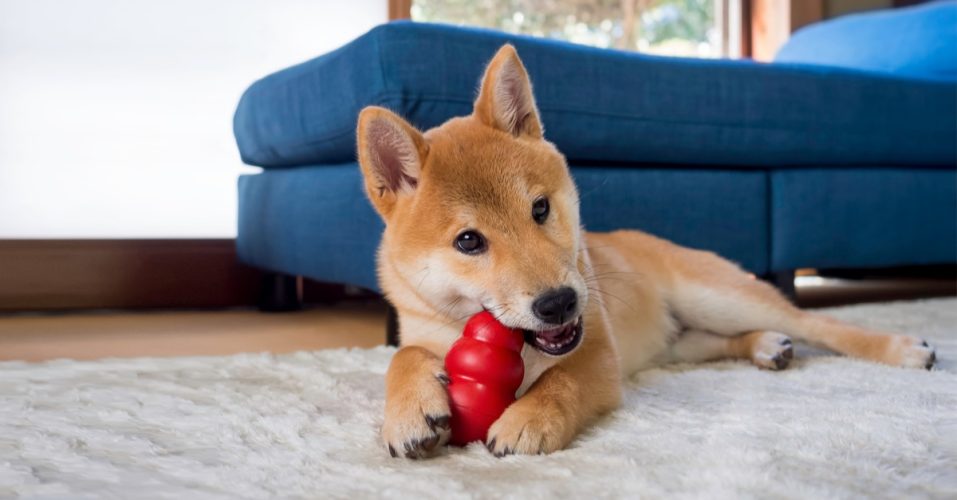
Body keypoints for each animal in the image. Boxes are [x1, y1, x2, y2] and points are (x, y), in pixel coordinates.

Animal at [354, 45, 936, 458]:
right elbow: (402, 356)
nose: (560, 304)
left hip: (717, 297)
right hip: (682, 340)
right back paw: (768, 346)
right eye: (468, 241)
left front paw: (528, 419)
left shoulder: (599, 356)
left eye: (539, 208)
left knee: (819, 324)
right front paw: (408, 411)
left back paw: (900, 348)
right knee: (729, 340)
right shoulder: (420, 329)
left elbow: (561, 382)